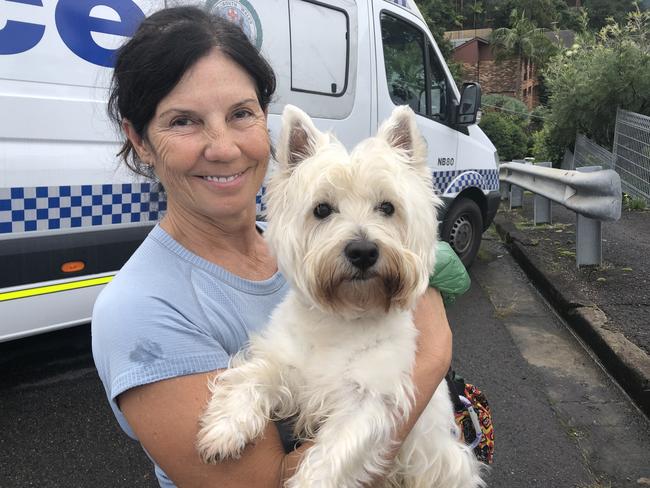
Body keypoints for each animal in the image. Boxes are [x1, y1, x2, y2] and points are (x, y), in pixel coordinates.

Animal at [197, 104, 486, 488]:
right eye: (322, 209)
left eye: (387, 207)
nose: (363, 251)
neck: (343, 318)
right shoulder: (289, 365)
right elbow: (253, 373)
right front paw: (225, 427)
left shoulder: (372, 399)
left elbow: (333, 452)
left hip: (445, 460)